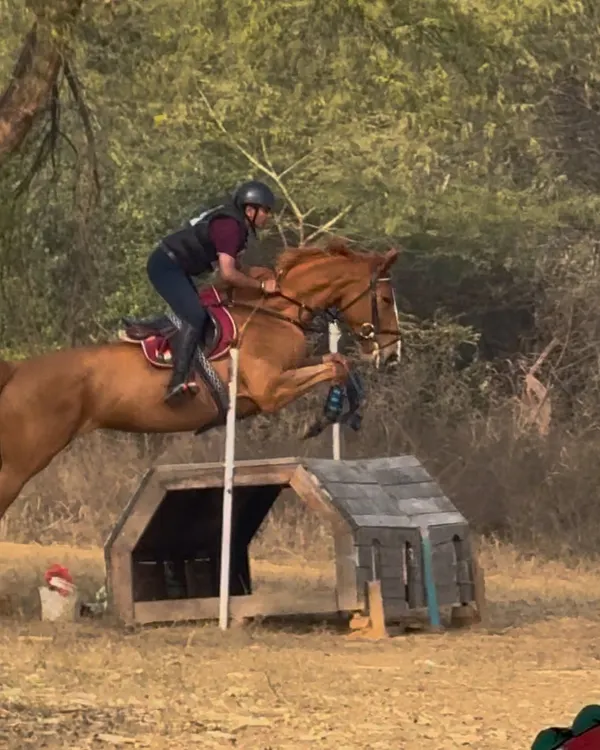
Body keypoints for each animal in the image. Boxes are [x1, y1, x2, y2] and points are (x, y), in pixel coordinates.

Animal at [0, 238, 401, 521]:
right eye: (384, 298)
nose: (393, 354)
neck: (277, 312)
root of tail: (17, 370)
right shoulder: (271, 391)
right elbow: (336, 366)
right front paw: (325, 417)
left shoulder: (291, 370)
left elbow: (338, 362)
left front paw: (345, 410)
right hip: (22, 461)